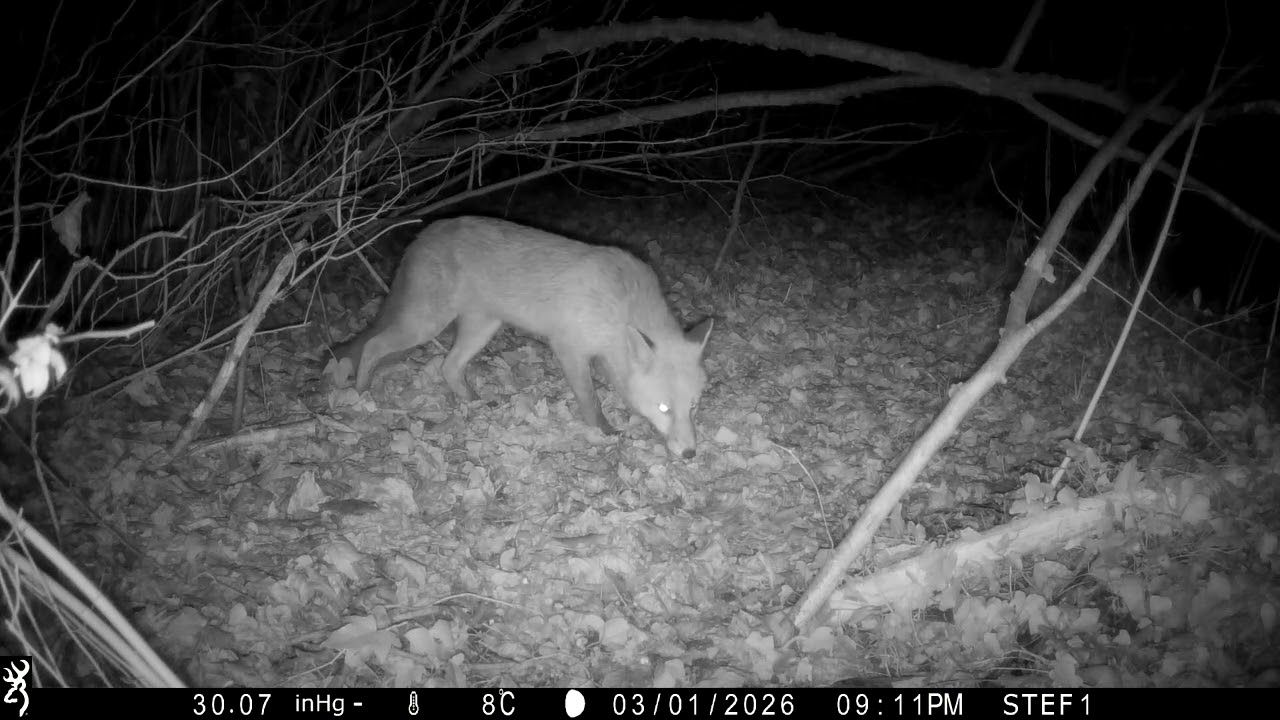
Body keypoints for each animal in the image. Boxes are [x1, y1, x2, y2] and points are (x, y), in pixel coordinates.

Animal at [331, 216, 713, 459]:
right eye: (664, 407)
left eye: (693, 406)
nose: (690, 454)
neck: (619, 305)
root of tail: (424, 233)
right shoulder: (569, 348)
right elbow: (591, 402)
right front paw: (604, 432)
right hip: (425, 323)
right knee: (373, 345)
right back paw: (362, 393)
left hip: (481, 329)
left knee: (448, 367)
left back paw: (473, 402)